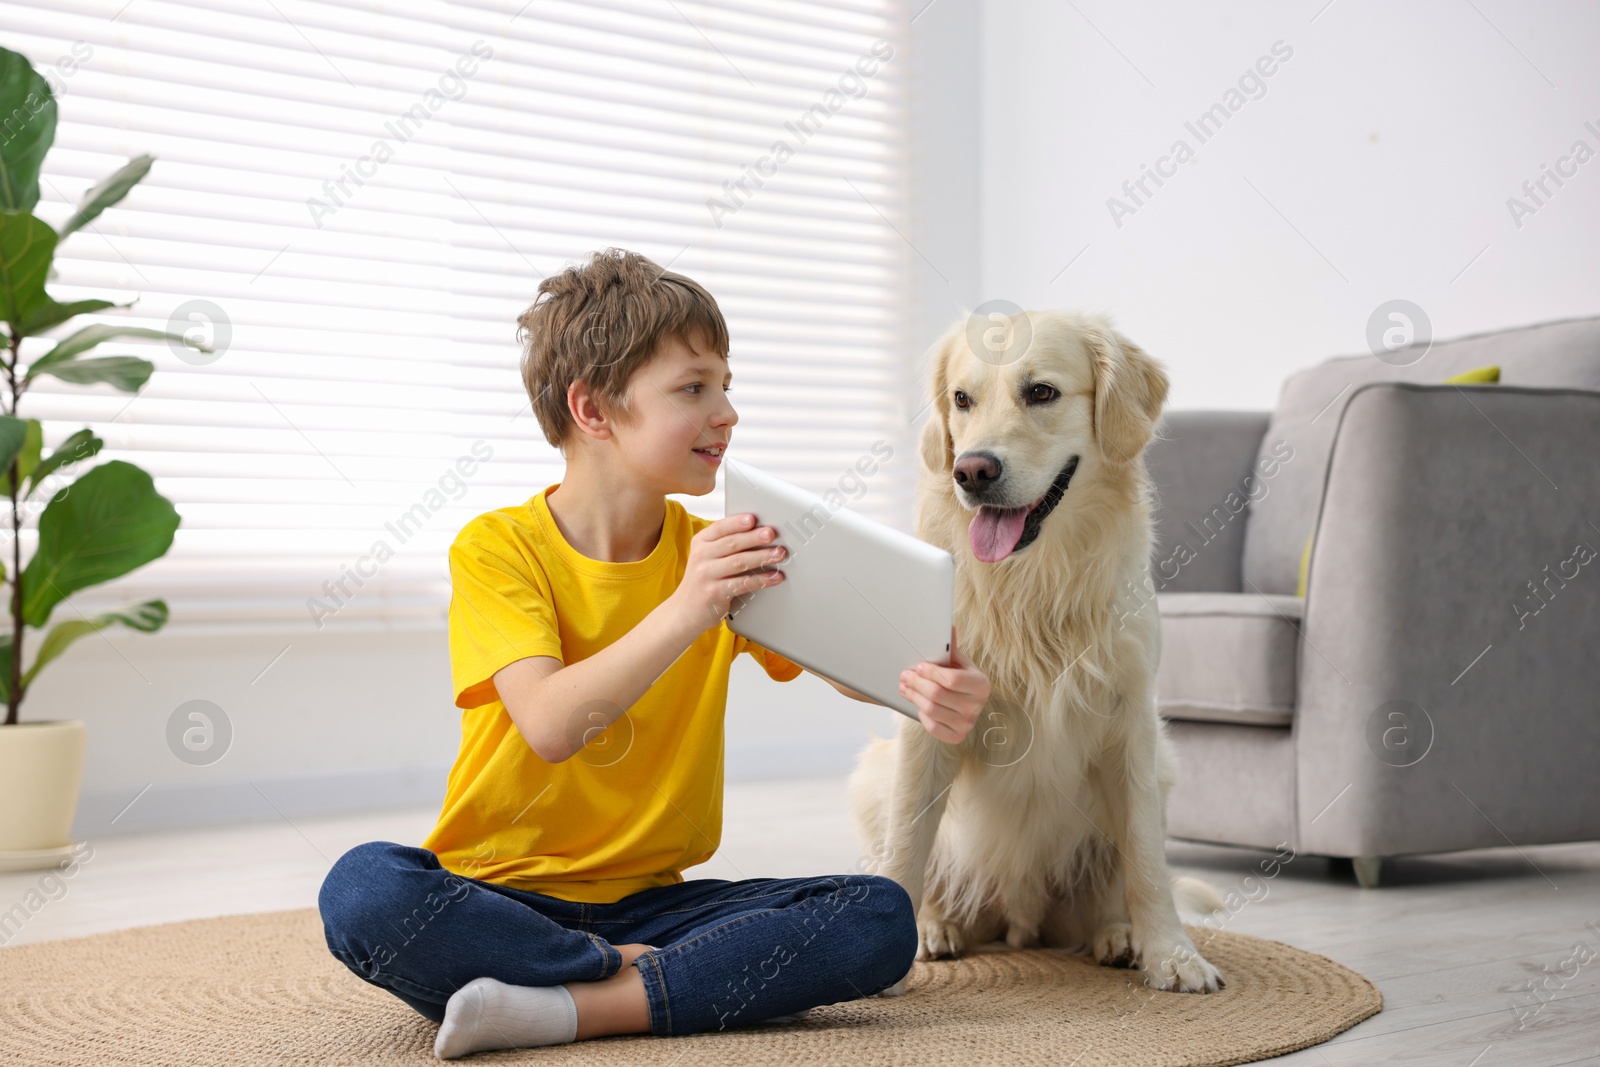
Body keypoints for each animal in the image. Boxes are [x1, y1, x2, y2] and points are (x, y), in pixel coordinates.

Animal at [851, 310, 1222, 1004]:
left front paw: (1171, 954)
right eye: (962, 400)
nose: (972, 471)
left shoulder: (1131, 722)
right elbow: (907, 844)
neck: (1032, 582)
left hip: (1162, 769)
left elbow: (1147, 860)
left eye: (1042, 392)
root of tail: (1019, 922)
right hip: (873, 775)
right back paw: (936, 928)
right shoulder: (928, 723)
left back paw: (1117, 935)